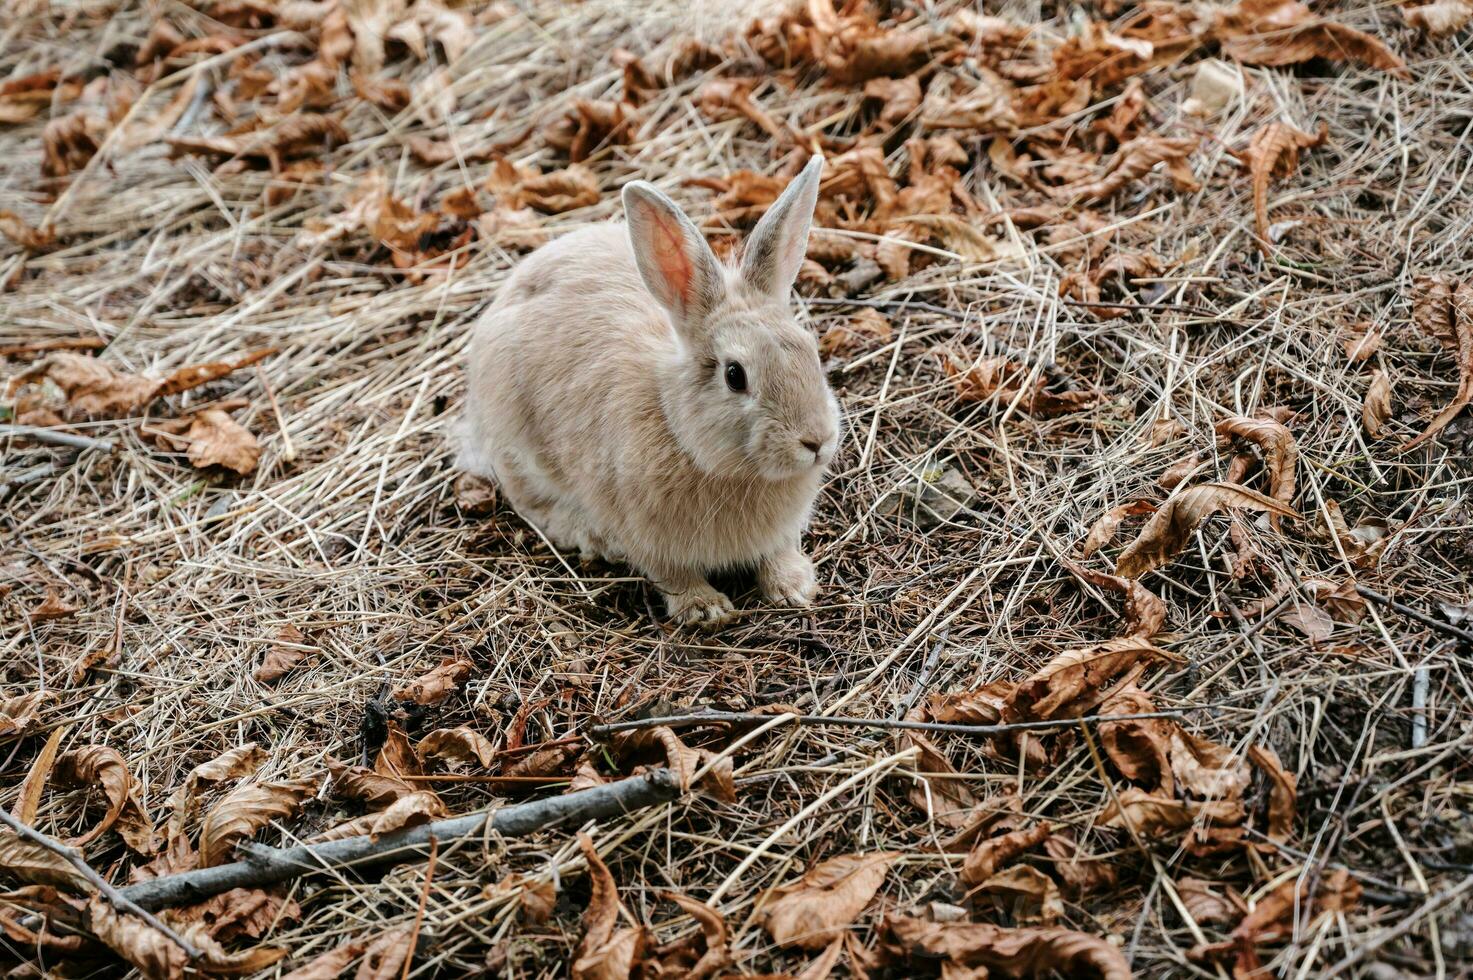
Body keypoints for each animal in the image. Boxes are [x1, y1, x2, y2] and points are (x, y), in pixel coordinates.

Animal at [453, 156, 848, 621]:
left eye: (811, 351)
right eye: (735, 375)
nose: (816, 440)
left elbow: (778, 551)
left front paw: (794, 586)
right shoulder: (643, 533)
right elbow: (670, 573)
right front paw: (705, 608)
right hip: (518, 447)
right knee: (533, 505)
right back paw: (592, 537)